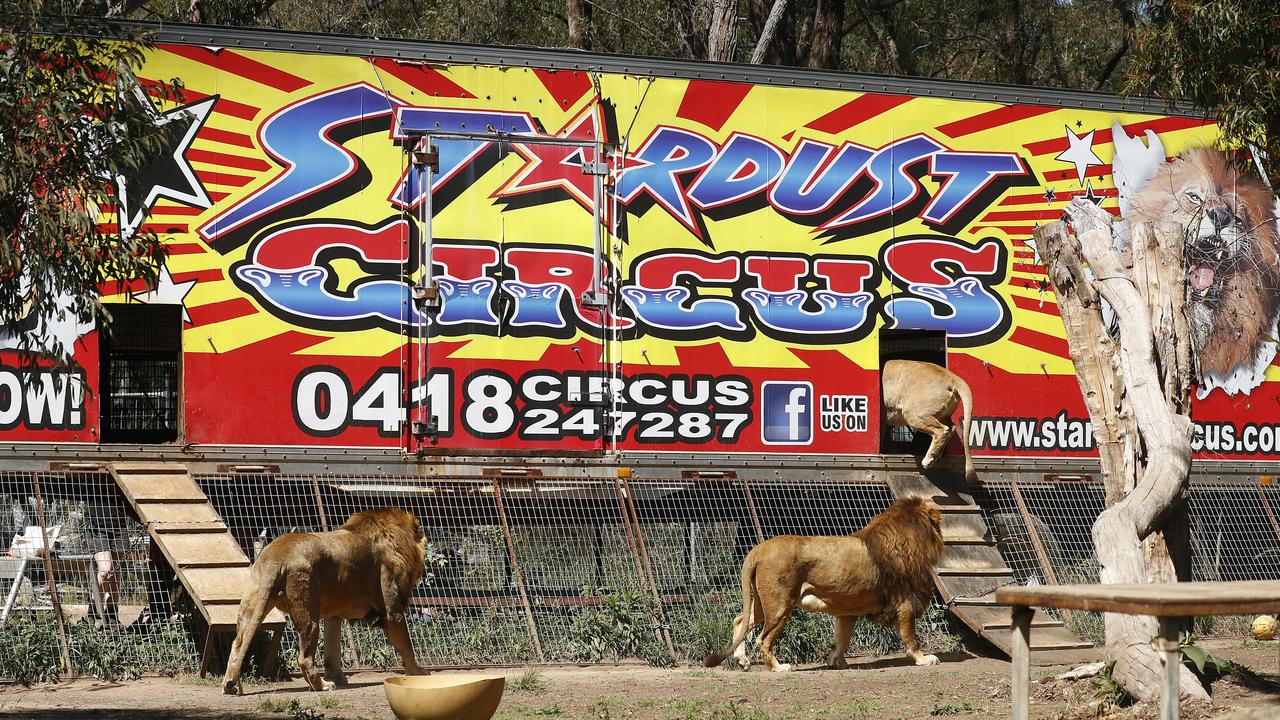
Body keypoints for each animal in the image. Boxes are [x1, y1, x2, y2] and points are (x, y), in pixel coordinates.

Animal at [222, 504, 427, 691]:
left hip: (252, 604)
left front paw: (338, 678)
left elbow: (332, 651)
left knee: (237, 644)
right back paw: (322, 685)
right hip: (308, 609)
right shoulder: (392, 612)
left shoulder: (334, 616)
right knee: (304, 658)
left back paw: (230, 685)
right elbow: (406, 647)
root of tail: (276, 555)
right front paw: (418, 674)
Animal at [706, 497, 947, 671]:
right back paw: (778, 667)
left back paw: (743, 661)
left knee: (740, 621)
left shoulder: (849, 610)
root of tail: (758, 549)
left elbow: (842, 638)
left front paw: (836, 662)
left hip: (764, 602)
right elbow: (910, 636)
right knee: (762, 640)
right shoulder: (905, 603)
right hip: (780, 605)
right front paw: (923, 659)